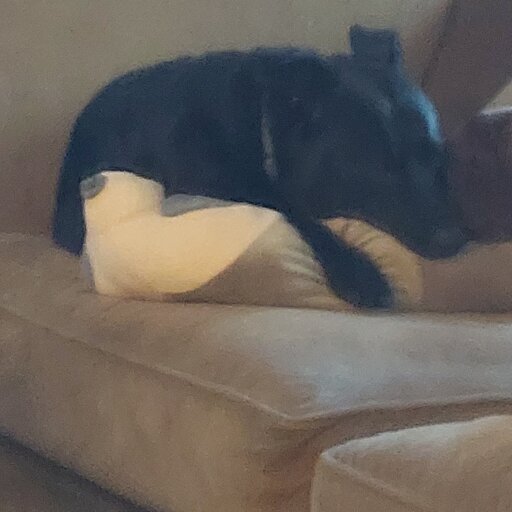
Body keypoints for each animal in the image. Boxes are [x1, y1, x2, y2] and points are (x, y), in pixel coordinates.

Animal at [52, 26, 468, 308]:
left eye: (436, 156)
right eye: (379, 167)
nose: (456, 239)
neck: (261, 129)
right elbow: (289, 207)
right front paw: (360, 273)